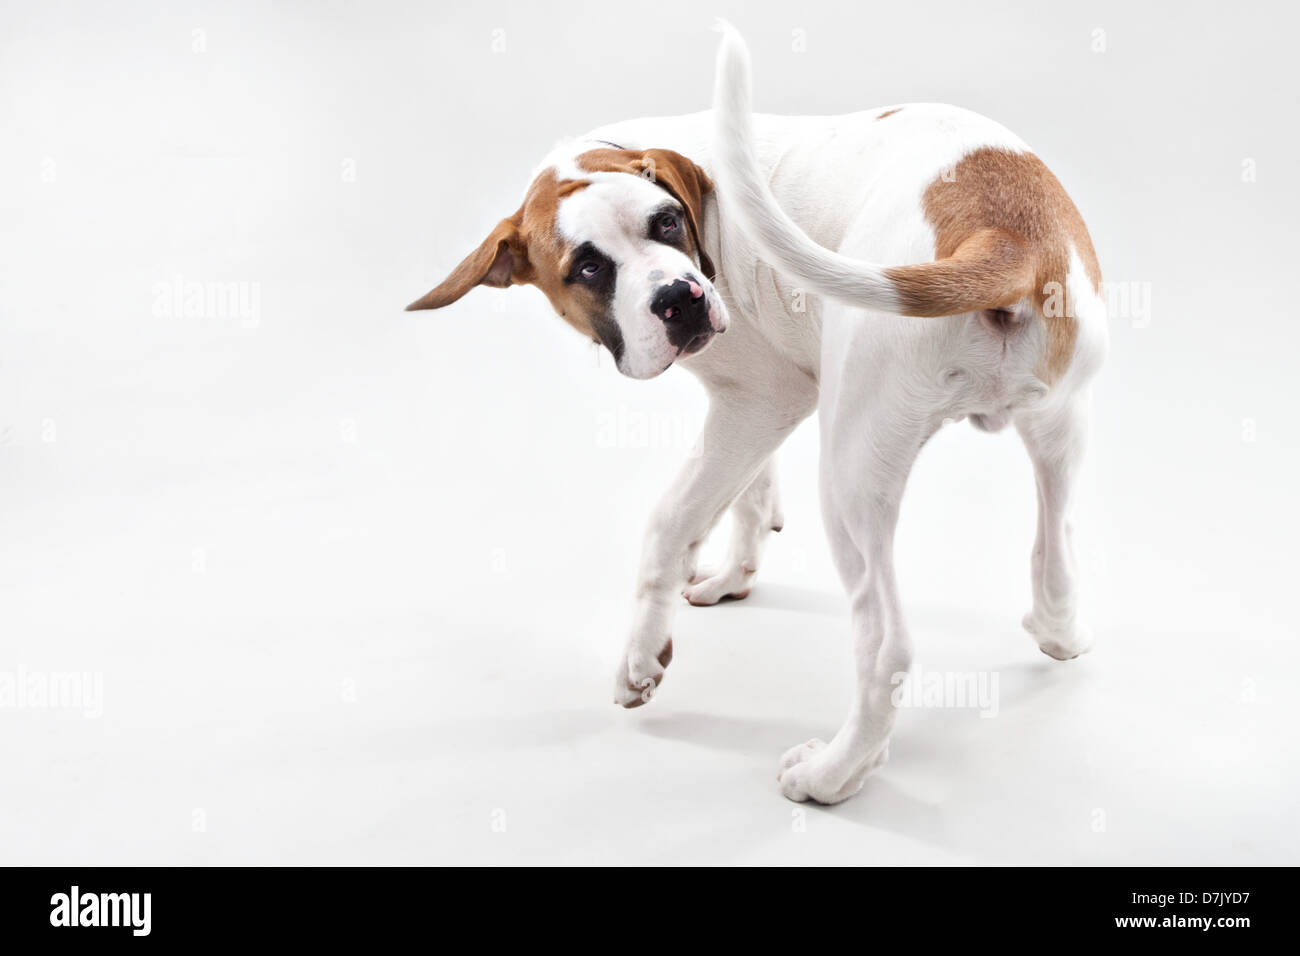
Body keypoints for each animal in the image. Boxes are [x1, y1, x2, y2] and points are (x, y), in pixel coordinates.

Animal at [405, 26, 1107, 806]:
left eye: (667, 223)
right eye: (587, 268)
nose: (677, 300)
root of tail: (1003, 231)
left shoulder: (760, 398)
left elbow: (671, 522)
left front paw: (642, 656)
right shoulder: (756, 409)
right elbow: (744, 493)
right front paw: (736, 570)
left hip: (853, 473)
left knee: (885, 644)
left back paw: (833, 775)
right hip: (1060, 429)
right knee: (1056, 554)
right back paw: (1059, 631)